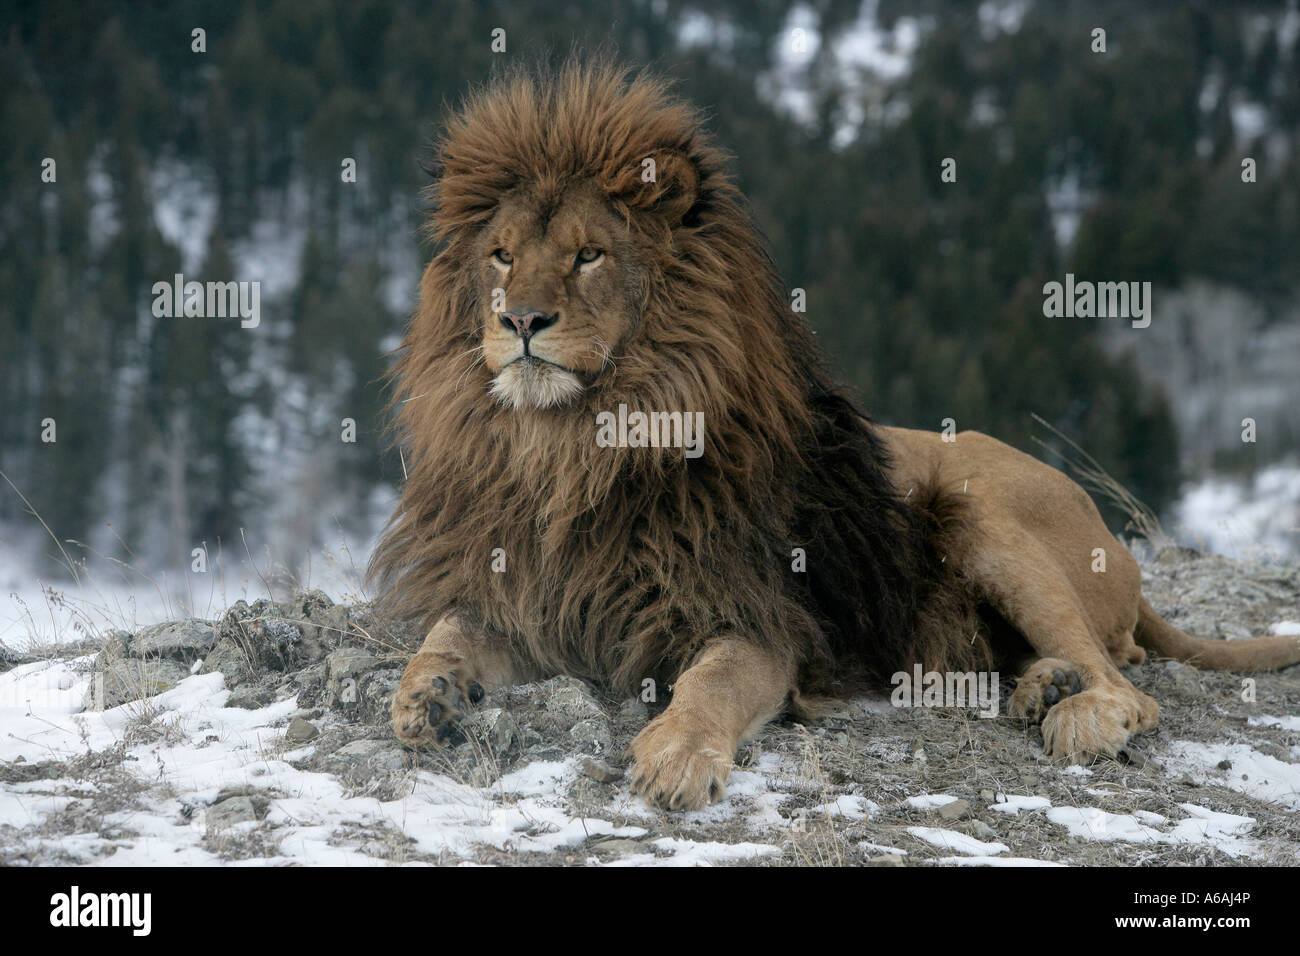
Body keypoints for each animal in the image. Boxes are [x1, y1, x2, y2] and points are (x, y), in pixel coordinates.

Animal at [369, 60, 1300, 811]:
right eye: (500, 254)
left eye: (589, 254)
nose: (521, 320)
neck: (571, 450)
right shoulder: (533, 597)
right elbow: (446, 634)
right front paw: (426, 696)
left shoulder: (764, 619)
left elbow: (711, 685)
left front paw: (676, 754)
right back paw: (1041, 687)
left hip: (980, 509)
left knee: (1127, 686)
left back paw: (1077, 711)